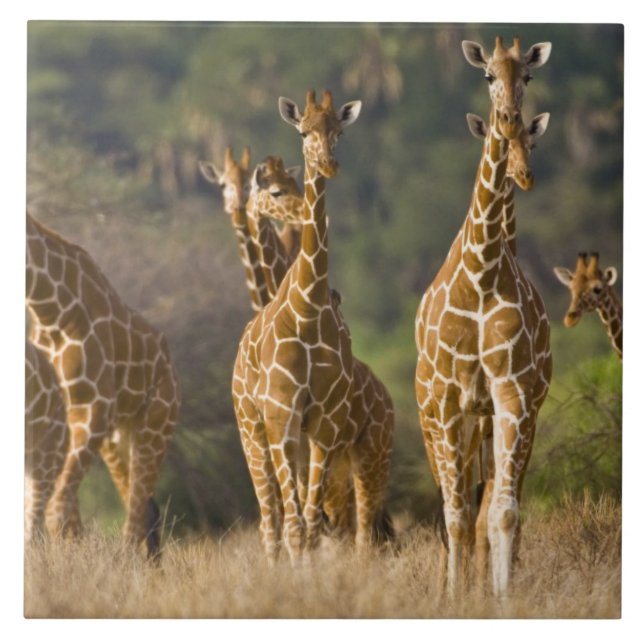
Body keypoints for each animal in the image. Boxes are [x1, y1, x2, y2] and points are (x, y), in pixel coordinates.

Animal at [26, 212, 181, 557]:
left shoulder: (94, 406)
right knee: (147, 509)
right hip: (117, 441)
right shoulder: (64, 411)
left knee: (137, 515)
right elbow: (67, 517)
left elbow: (58, 511)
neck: (50, 310)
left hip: (155, 426)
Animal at [231, 90, 362, 563]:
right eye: (303, 131)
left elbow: (309, 525)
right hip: (251, 427)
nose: (328, 165)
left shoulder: (323, 424)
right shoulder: (281, 416)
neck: (307, 308)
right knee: (270, 522)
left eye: (338, 131)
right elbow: (292, 526)